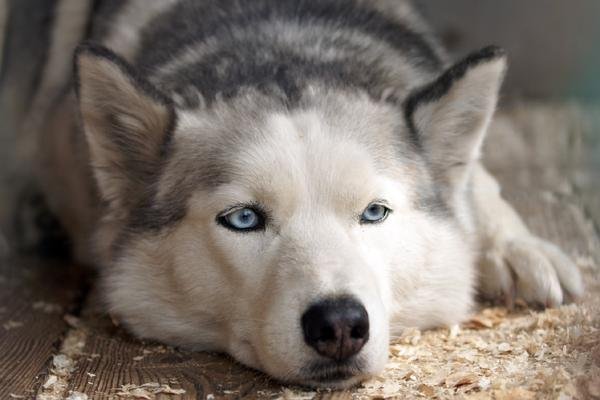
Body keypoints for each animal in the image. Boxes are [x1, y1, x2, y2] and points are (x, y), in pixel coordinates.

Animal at [14, 0, 584, 390]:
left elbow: (477, 182)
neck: (278, 47)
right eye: (243, 219)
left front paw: (515, 246)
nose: (340, 325)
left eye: (374, 212)